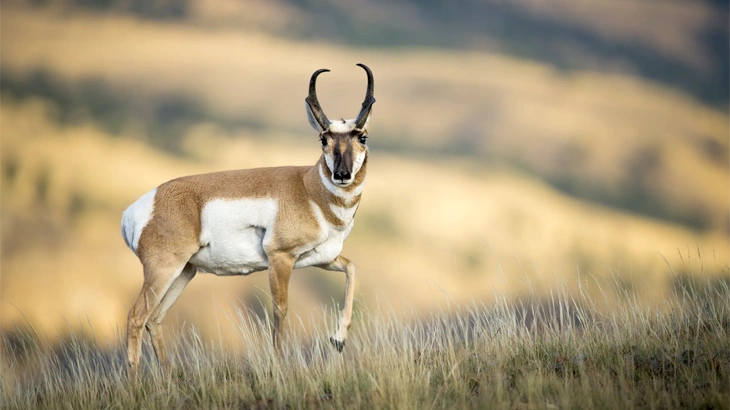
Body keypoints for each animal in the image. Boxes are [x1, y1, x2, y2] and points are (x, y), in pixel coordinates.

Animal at [121, 64, 375, 375]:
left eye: (362, 137)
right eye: (323, 139)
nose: (342, 174)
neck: (308, 188)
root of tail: (139, 207)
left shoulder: (321, 258)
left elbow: (352, 268)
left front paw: (338, 339)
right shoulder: (280, 258)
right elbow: (280, 308)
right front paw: (278, 365)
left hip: (183, 272)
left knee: (154, 319)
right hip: (162, 270)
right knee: (136, 317)